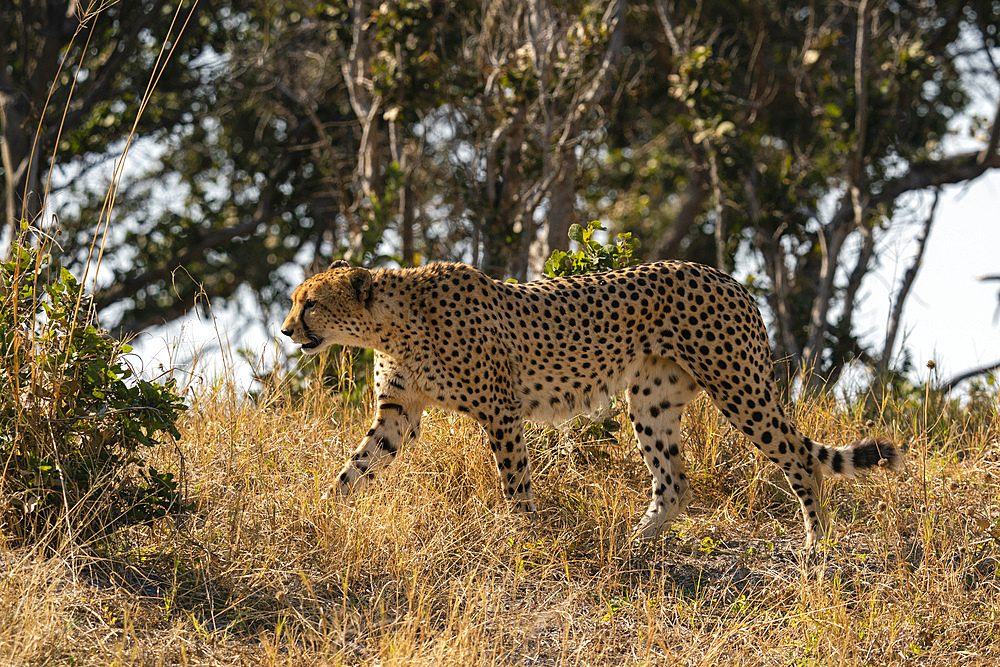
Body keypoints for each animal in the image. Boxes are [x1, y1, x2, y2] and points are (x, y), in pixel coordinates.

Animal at [278, 260, 904, 548]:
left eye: (310, 304)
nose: (286, 330)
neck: (389, 324)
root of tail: (727, 276)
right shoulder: (398, 414)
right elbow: (355, 467)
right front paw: (322, 514)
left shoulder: (501, 411)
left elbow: (514, 482)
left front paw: (523, 536)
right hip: (650, 399)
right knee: (675, 480)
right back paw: (636, 542)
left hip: (738, 387)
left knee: (798, 457)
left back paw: (816, 544)